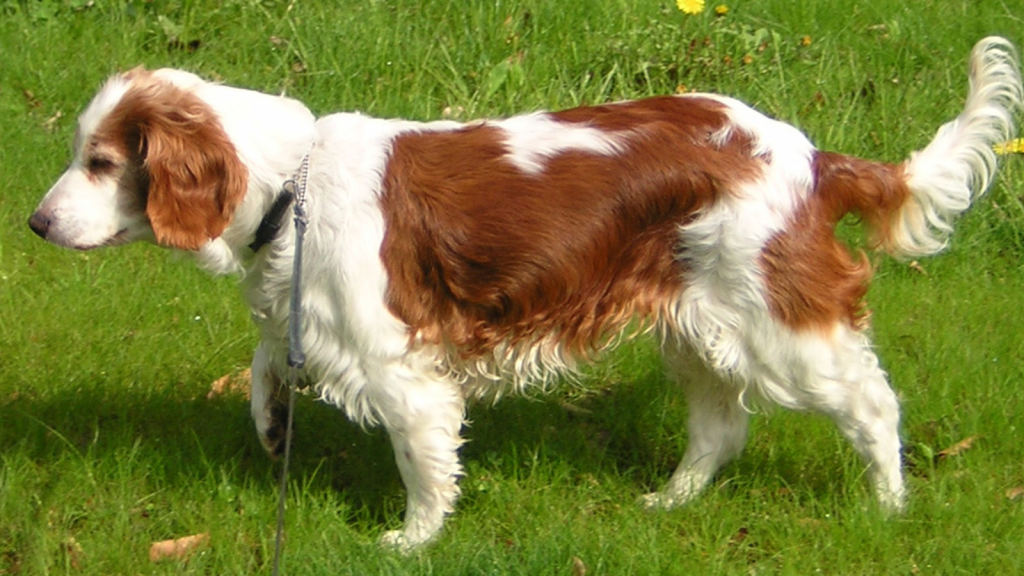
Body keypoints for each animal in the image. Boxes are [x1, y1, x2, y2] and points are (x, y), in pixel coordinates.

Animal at [28, 38, 1019, 549]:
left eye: (101, 162)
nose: (34, 224)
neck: (292, 181)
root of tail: (813, 155)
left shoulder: (401, 369)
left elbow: (423, 465)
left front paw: (412, 542)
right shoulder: (309, 314)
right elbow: (268, 362)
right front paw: (272, 424)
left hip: (778, 324)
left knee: (872, 405)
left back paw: (888, 509)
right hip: (695, 325)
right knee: (721, 427)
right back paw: (671, 502)